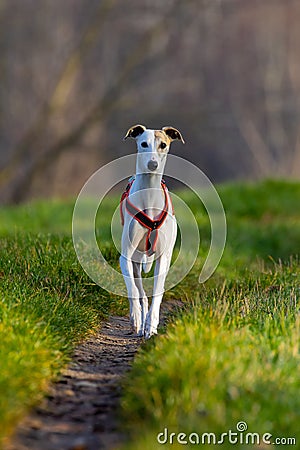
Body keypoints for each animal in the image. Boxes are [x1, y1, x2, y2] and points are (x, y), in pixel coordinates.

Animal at [119, 124, 185, 338]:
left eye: (163, 144)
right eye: (143, 144)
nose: (152, 164)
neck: (148, 194)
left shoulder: (164, 258)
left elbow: (158, 292)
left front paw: (152, 325)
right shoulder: (125, 257)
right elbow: (132, 290)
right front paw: (137, 319)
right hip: (135, 261)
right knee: (139, 290)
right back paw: (140, 318)